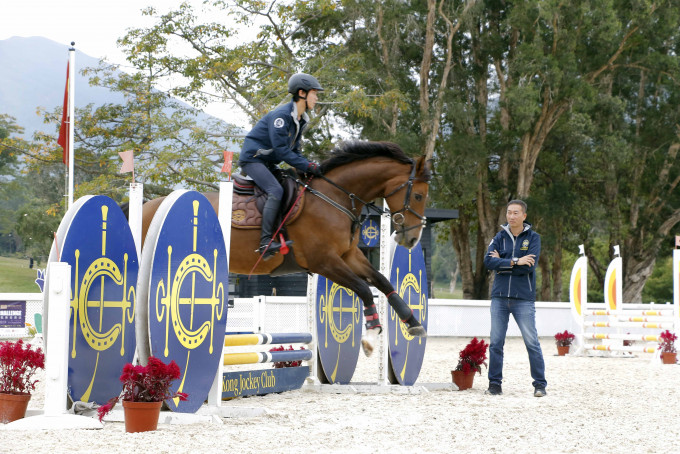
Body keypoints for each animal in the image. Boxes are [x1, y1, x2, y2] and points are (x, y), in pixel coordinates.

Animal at [141, 141, 432, 354]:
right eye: (418, 195)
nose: (412, 240)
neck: (334, 198)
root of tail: (148, 206)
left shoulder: (348, 255)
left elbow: (381, 281)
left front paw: (413, 322)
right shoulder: (324, 261)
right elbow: (363, 288)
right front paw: (371, 336)